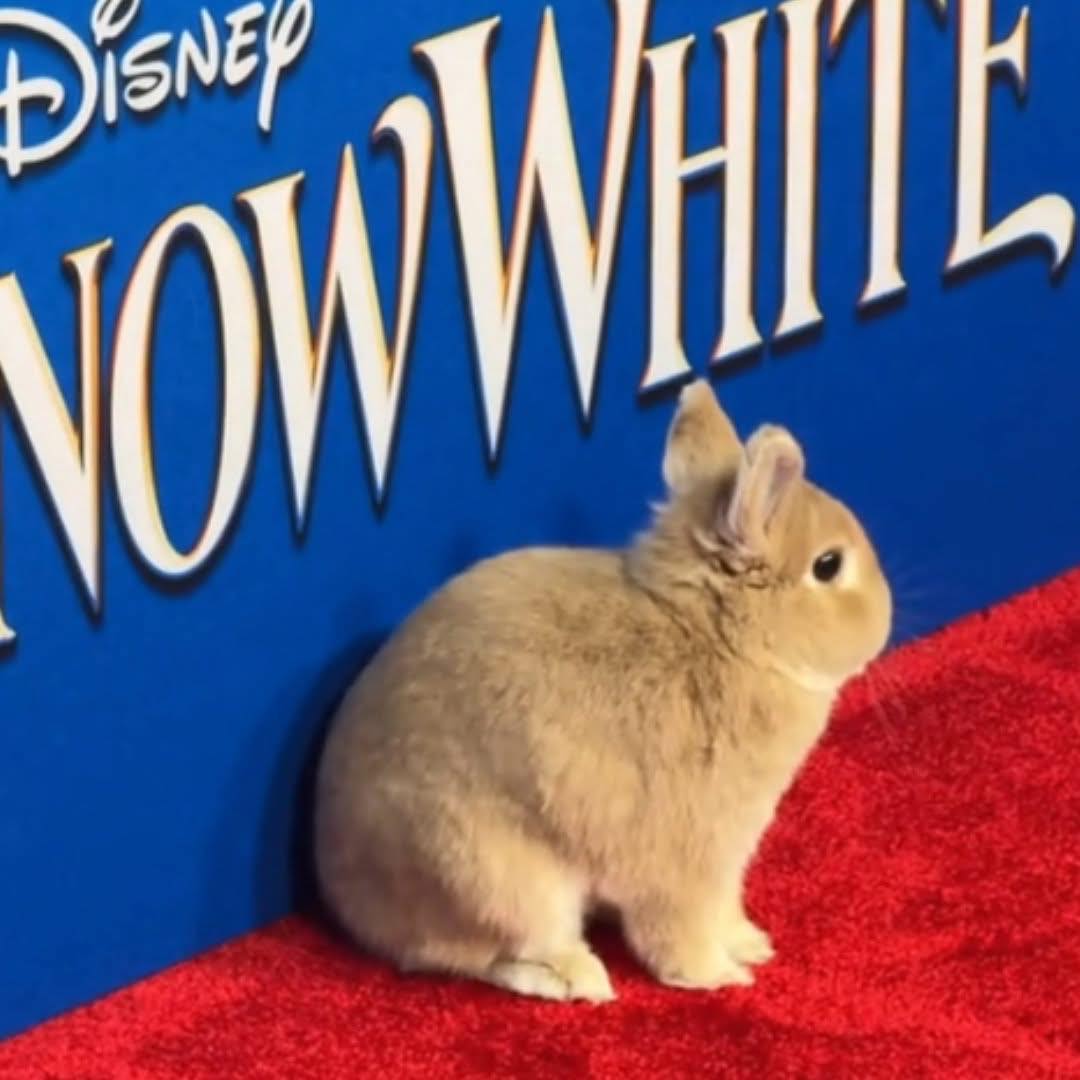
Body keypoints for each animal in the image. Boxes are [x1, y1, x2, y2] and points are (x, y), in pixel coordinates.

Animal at [313, 379, 892, 1003]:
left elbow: (724, 911)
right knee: (484, 954)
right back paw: (580, 978)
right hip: (499, 879)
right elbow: (678, 929)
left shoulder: (725, 862)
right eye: (828, 566)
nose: (885, 620)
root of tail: (350, 903)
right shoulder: (689, 858)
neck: (721, 638)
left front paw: (750, 944)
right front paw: (718, 975)